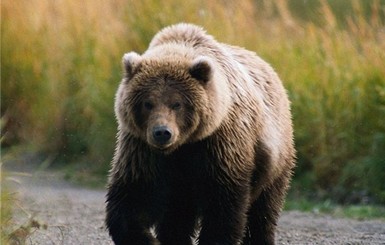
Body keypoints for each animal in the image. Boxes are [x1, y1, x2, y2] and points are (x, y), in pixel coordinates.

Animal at [105, 23, 294, 245]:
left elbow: (222, 203)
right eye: (147, 103)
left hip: (274, 156)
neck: (183, 145)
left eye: (177, 104)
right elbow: (134, 195)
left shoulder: (219, 144)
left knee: (264, 207)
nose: (162, 133)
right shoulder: (142, 148)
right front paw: (145, 238)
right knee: (176, 215)